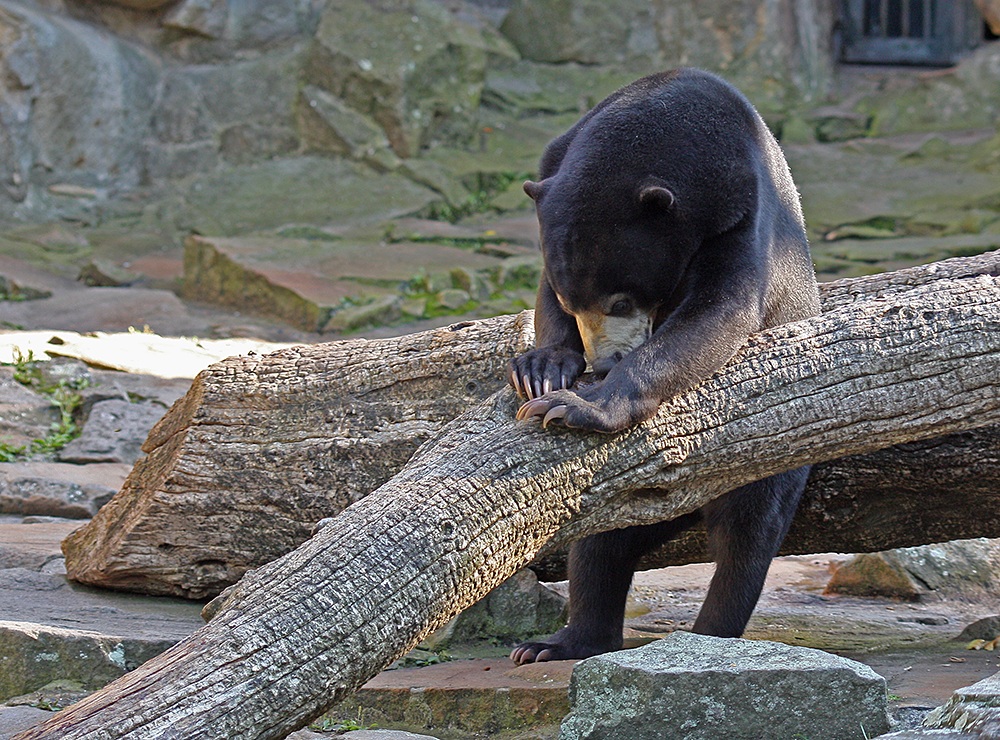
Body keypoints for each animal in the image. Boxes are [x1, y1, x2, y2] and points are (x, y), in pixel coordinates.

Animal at [508, 66, 820, 660]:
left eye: (621, 300)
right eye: (571, 300)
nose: (606, 361)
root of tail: (681, 504)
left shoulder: (742, 216)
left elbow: (719, 312)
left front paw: (583, 404)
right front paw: (541, 369)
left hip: (776, 454)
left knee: (748, 534)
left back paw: (710, 637)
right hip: (624, 499)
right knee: (601, 545)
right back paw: (556, 643)